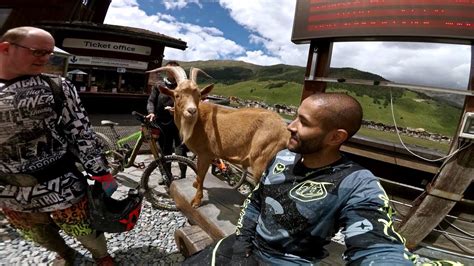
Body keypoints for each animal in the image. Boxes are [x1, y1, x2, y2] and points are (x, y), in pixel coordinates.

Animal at [147, 66, 288, 208]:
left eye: (199, 95)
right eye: (177, 95)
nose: (192, 111)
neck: (198, 122)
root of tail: (285, 131)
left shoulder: (205, 153)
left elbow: (201, 174)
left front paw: (196, 201)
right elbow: (199, 174)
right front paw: (195, 184)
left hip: (262, 161)